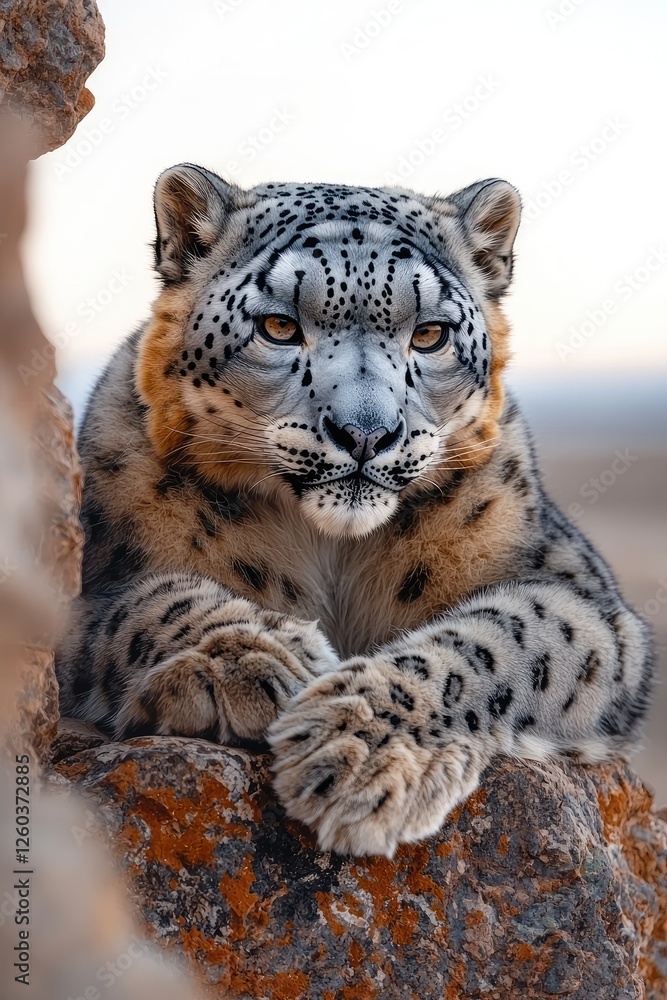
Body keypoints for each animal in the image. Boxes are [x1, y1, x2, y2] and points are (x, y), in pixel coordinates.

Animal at [56, 164, 653, 857]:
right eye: (279, 326)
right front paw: (249, 663)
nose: (366, 432)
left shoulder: (581, 596)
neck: (334, 550)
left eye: (430, 333)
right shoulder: (82, 580)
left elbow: (504, 639)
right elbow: (150, 597)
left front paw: (360, 748)